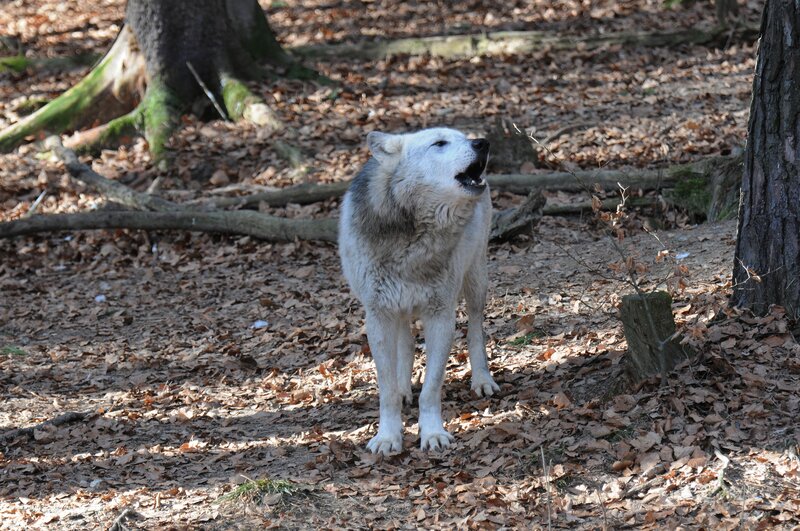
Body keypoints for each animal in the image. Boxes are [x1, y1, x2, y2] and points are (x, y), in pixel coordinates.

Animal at [339, 127, 500, 455]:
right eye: (439, 143)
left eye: (463, 137)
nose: (482, 142)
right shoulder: (379, 316)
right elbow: (386, 388)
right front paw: (388, 437)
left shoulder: (440, 315)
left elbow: (431, 387)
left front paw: (433, 433)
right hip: (398, 308)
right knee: (407, 341)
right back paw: (404, 389)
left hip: (476, 280)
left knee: (476, 330)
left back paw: (482, 379)